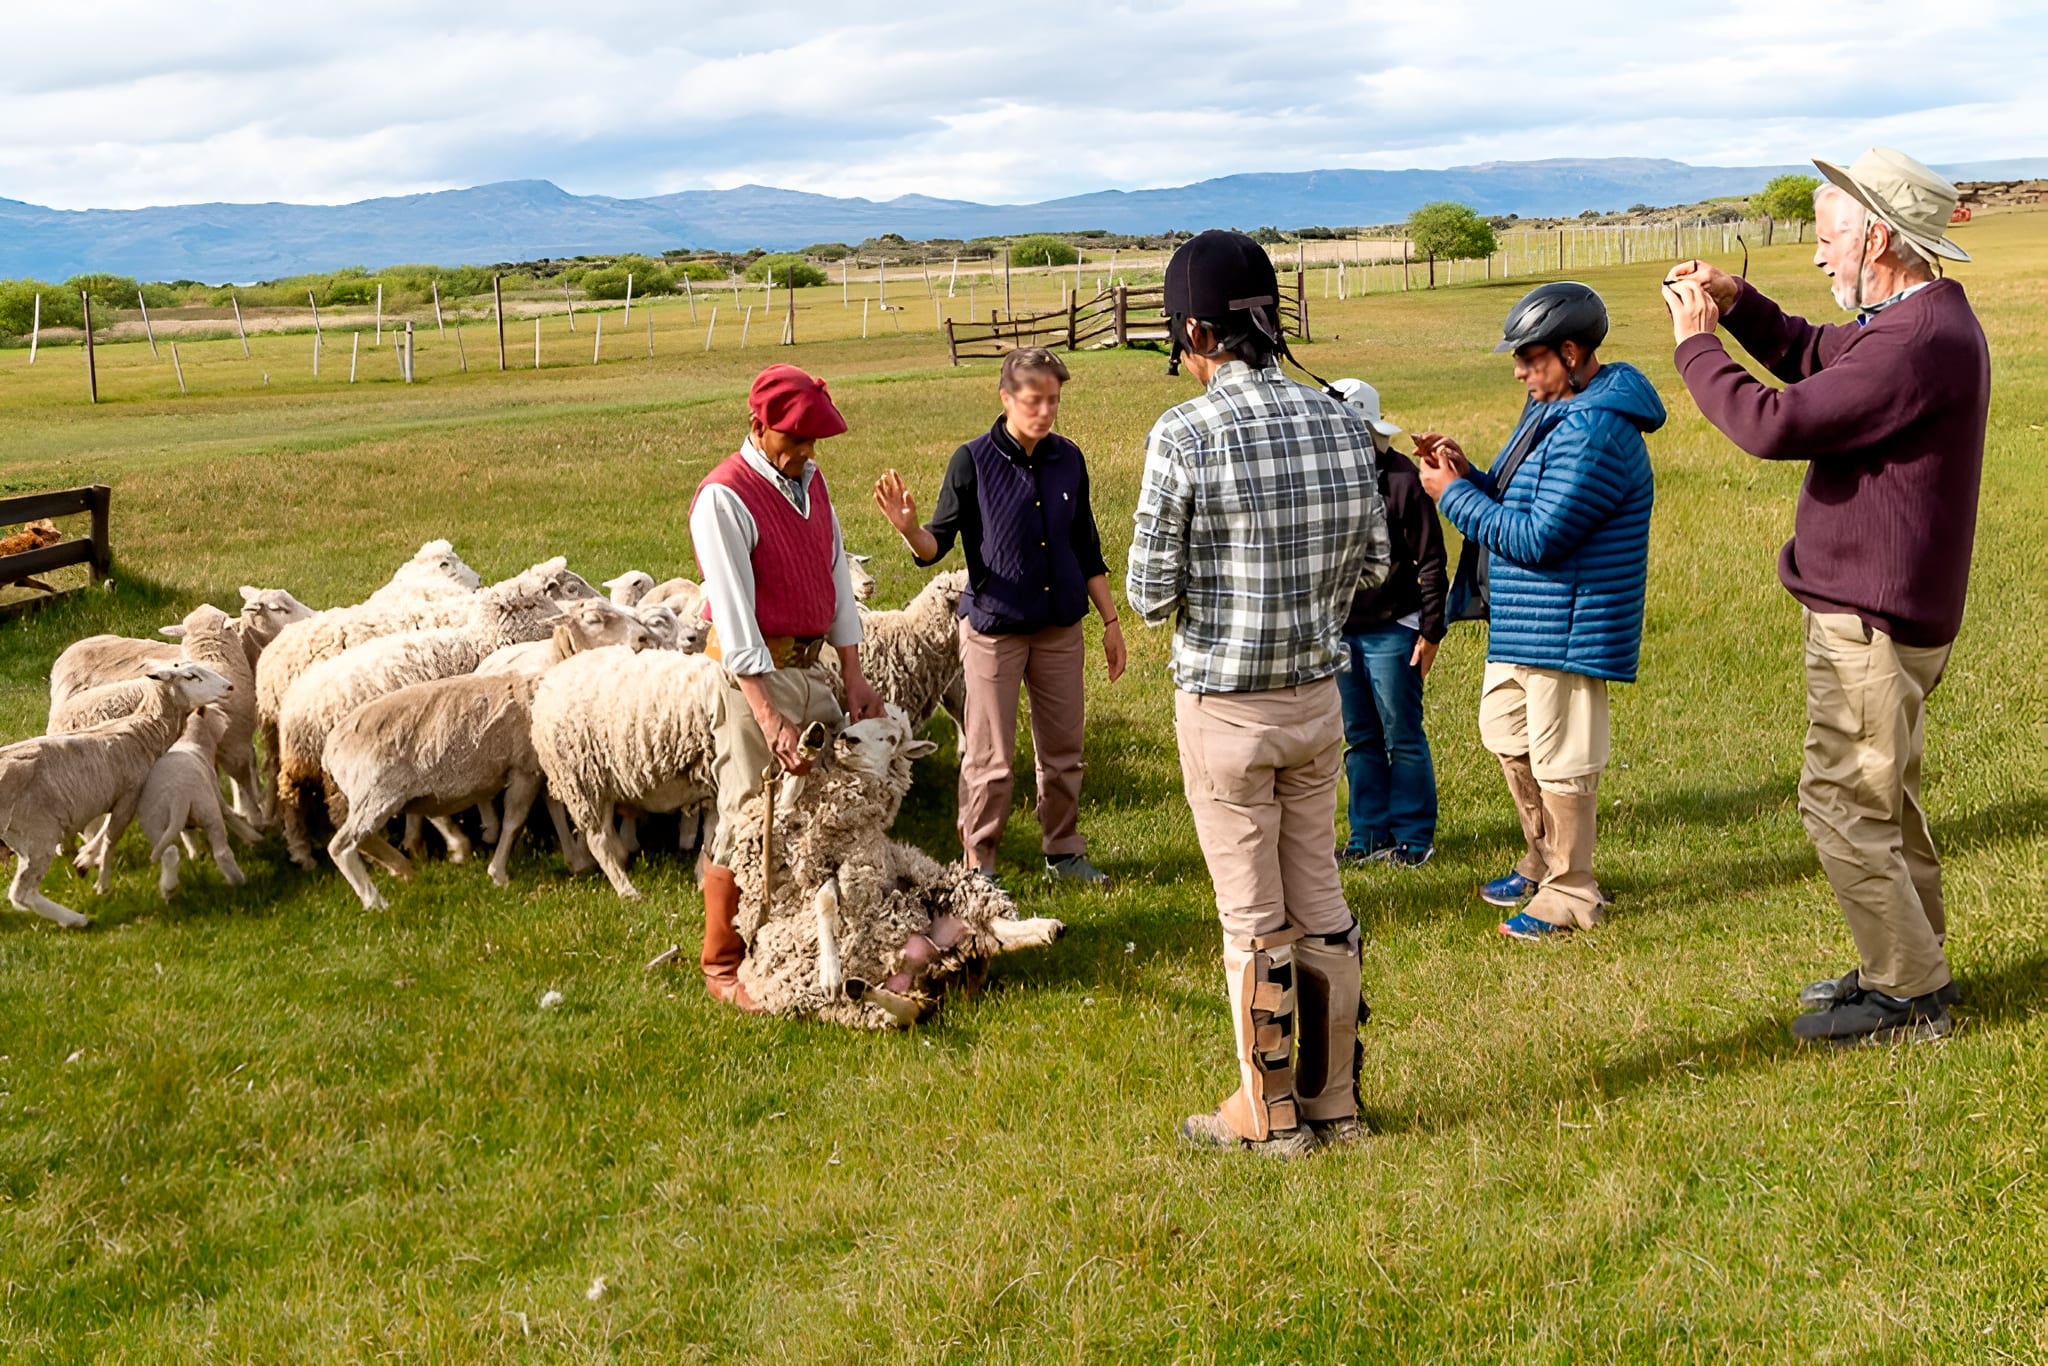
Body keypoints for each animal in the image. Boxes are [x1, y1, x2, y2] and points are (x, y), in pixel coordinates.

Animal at [0, 661, 233, 928]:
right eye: (191, 676)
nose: (229, 686)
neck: (144, 729)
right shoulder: (130, 794)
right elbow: (112, 837)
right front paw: (101, 882)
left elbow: (104, 830)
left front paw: (87, 858)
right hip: (36, 834)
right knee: (21, 893)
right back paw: (76, 919)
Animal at [274, 589, 565, 868]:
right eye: (530, 605)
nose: (560, 619)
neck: (474, 643)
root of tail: (293, 713)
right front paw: (471, 838)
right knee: (343, 817)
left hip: (305, 767)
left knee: (290, 800)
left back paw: (303, 854)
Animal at [529, 648, 731, 899]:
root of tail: (547, 684)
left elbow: (712, 838)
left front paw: (704, 879)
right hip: (581, 778)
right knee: (598, 840)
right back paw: (628, 891)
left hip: (602, 784)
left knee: (605, 831)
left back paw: (622, 858)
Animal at [726, 706, 1065, 1028]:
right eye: (851, 721)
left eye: (890, 739)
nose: (847, 738)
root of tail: (934, 960)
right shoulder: (793, 850)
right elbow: (790, 798)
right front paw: (807, 744)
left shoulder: (848, 865)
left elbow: (825, 900)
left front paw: (830, 974)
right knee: (910, 1008)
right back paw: (857, 987)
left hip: (951, 897)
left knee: (993, 928)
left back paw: (1048, 928)